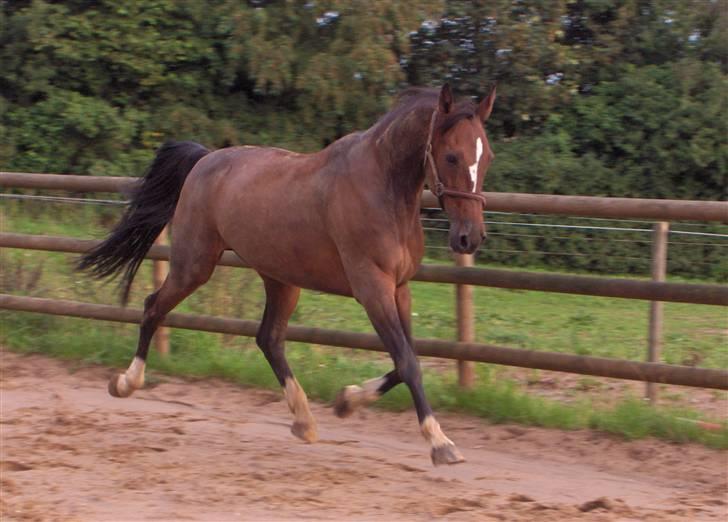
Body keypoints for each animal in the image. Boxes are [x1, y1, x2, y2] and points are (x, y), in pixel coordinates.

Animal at [82, 84, 498, 464]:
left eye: (487, 156)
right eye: (451, 156)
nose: (470, 237)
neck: (382, 189)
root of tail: (205, 159)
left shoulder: (399, 288)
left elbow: (404, 359)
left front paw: (345, 401)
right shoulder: (372, 288)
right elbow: (409, 363)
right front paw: (441, 443)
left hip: (280, 280)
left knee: (268, 339)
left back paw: (304, 421)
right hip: (194, 265)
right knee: (154, 307)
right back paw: (125, 383)